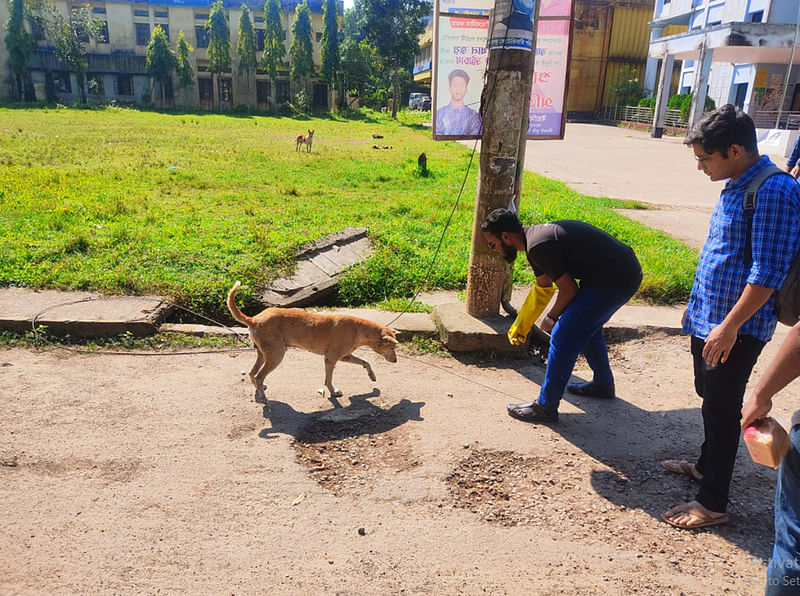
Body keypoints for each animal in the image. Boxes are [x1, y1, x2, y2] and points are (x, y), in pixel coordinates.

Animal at [227, 280, 398, 406]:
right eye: (392, 348)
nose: (396, 361)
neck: (358, 328)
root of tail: (253, 319)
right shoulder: (331, 358)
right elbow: (328, 380)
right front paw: (333, 392)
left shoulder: (345, 356)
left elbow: (366, 362)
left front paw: (372, 376)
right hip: (276, 355)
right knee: (259, 376)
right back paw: (263, 397)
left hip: (263, 354)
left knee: (252, 373)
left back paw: (259, 389)